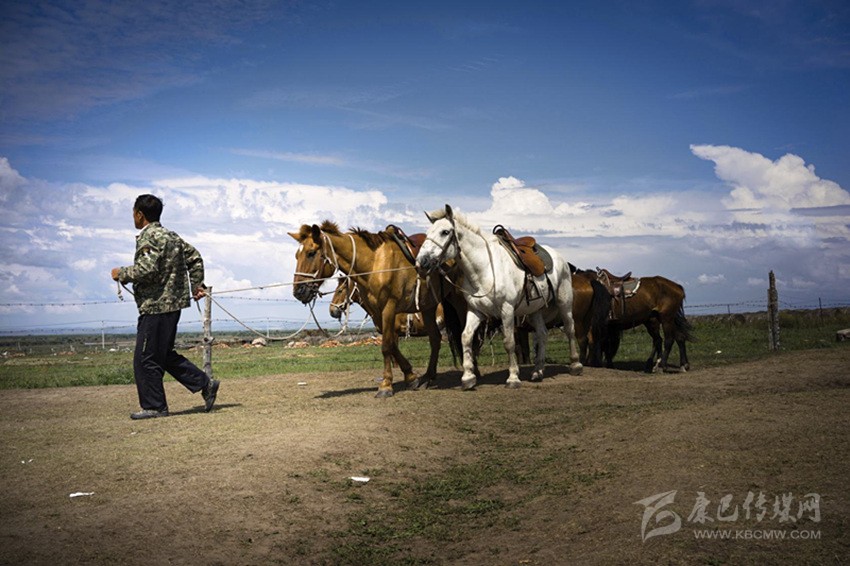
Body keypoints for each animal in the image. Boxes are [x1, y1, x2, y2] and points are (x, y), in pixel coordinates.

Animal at [289, 221, 462, 397]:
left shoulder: (389, 309)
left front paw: (386, 386)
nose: (299, 292)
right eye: (297, 256)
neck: (375, 264)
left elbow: (386, 347)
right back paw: (428, 377)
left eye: (311, 253)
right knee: (435, 338)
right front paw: (411, 377)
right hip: (428, 307)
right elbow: (392, 346)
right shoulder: (380, 314)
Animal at [415, 205, 583, 390]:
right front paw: (468, 378)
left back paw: (575, 365)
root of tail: (560, 258)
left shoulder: (507, 310)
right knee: (542, 334)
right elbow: (465, 337)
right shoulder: (475, 311)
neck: (485, 269)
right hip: (535, 309)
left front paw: (513, 378)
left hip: (564, 301)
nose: (421, 262)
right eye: (428, 232)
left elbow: (509, 342)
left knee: (569, 328)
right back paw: (538, 371)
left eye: (445, 232)